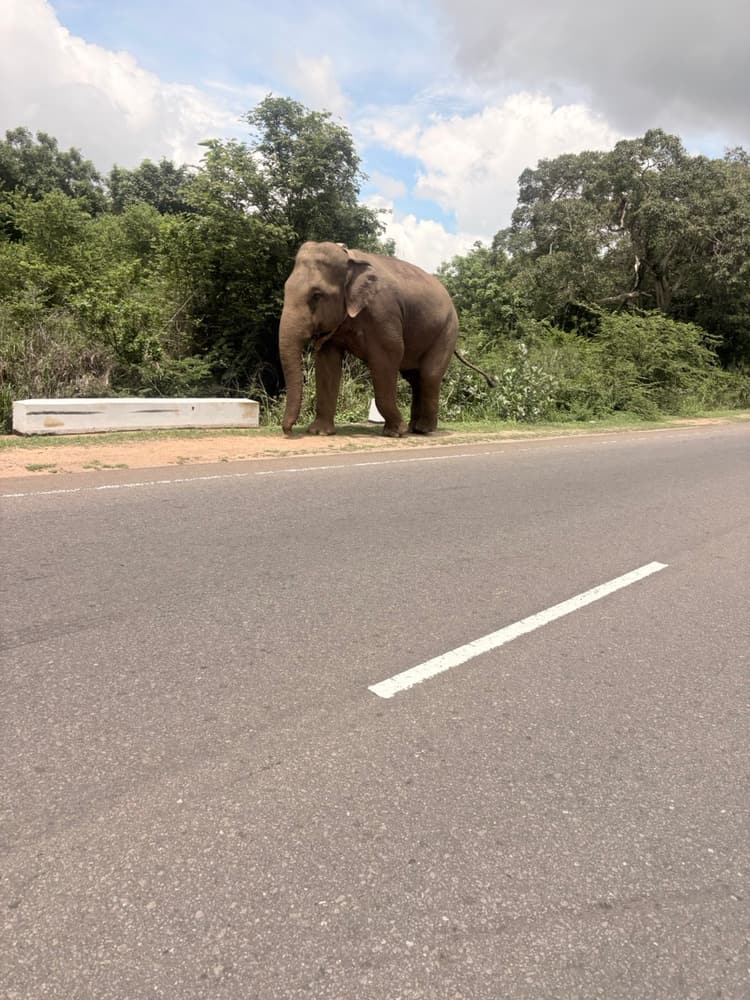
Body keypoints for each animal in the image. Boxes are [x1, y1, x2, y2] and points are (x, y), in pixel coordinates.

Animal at [279, 241, 494, 437]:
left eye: (316, 295)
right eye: (285, 289)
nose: (288, 431)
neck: (351, 259)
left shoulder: (383, 314)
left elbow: (387, 357)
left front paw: (395, 432)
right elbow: (327, 363)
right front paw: (320, 432)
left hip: (447, 330)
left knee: (429, 375)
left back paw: (424, 430)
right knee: (414, 378)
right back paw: (414, 428)